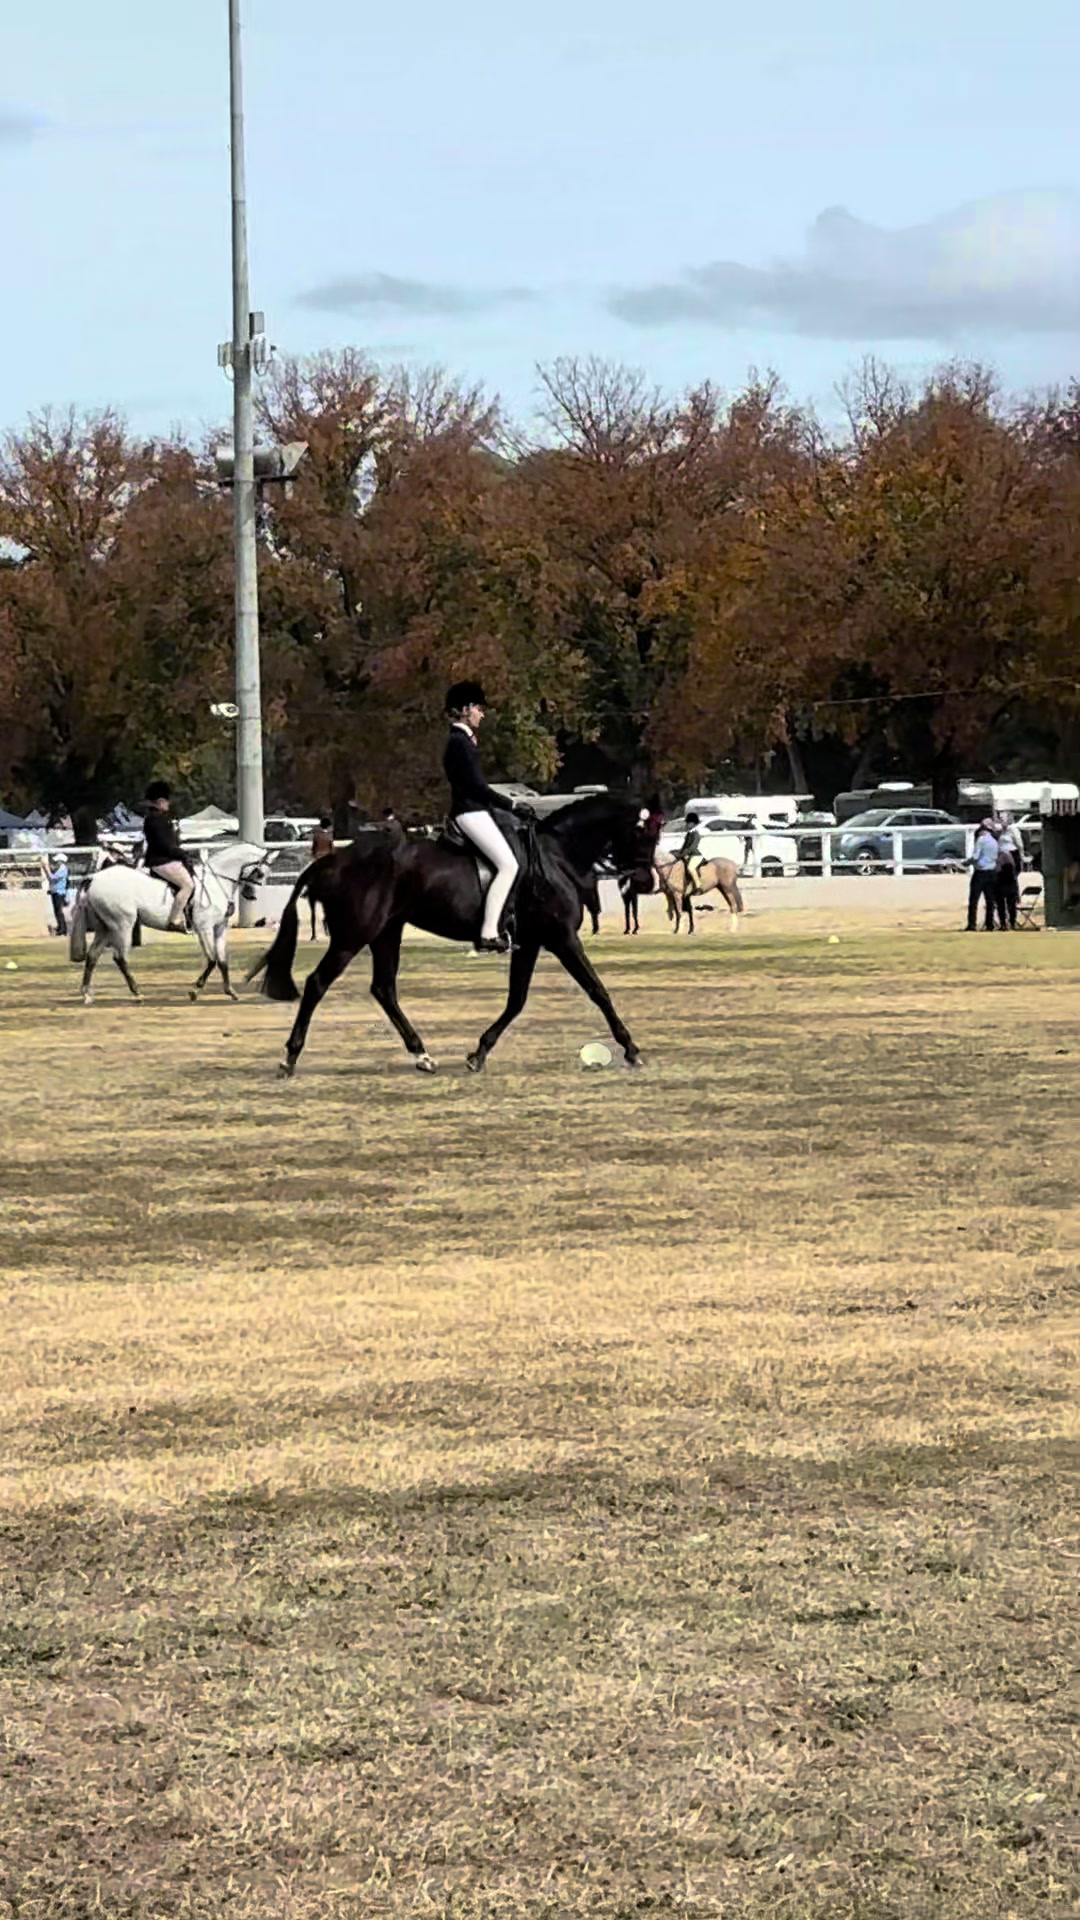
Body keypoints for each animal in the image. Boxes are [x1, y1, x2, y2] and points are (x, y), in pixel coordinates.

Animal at [69, 841, 271, 1004]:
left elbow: (222, 960)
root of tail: (95, 878)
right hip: (122, 925)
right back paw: (137, 994)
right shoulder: (204, 928)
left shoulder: (219, 928)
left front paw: (230, 991)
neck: (215, 881)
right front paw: (195, 991)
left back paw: (86, 994)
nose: (251, 895)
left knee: (93, 956)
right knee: (120, 958)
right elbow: (212, 960)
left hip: (105, 927)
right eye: (260, 873)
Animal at [247, 794, 658, 1078]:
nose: (646, 881)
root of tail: (335, 859)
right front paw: (631, 1049)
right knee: (318, 983)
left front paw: (479, 1053)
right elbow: (597, 990)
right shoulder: (562, 939)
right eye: (644, 834)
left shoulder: (531, 943)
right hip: (353, 936)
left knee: (384, 988)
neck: (555, 856)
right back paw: (290, 1058)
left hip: (386, 933)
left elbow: (517, 1000)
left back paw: (422, 1055)